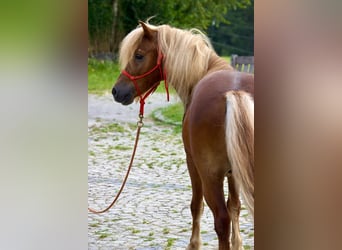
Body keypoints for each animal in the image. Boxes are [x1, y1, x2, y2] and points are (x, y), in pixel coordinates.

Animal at [112, 22, 254, 250]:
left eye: (139, 55)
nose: (116, 91)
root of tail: (234, 93)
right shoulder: (235, 173)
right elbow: (235, 206)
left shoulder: (193, 164)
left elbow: (197, 206)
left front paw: (194, 244)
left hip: (209, 176)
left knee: (221, 220)